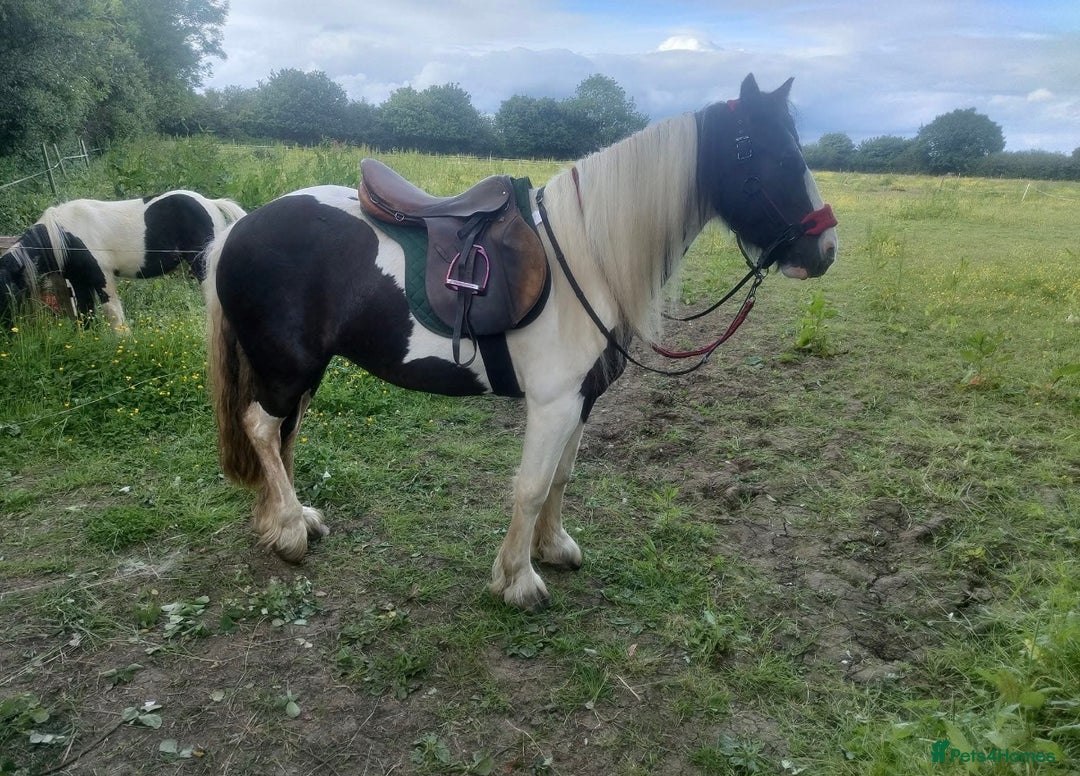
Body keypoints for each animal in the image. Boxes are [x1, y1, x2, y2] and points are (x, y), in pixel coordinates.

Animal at [0, 190, 246, 331]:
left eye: (6, 291)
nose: (5, 329)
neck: (63, 235)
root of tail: (210, 203)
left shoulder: (102, 278)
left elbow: (112, 313)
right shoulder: (79, 282)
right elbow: (85, 313)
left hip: (201, 263)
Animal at [205, 74, 839, 610]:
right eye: (782, 159)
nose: (826, 251)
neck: (588, 256)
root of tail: (240, 227)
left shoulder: (582, 399)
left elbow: (561, 476)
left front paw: (552, 548)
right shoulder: (553, 402)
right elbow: (531, 486)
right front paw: (517, 580)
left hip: (303, 372)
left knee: (285, 434)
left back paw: (290, 519)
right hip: (287, 369)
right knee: (262, 429)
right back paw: (289, 532)